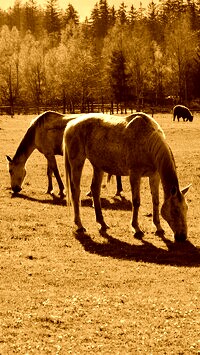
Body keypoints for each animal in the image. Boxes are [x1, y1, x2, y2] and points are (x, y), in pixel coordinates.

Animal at [63, 112, 191, 243]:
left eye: (186, 208)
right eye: (175, 210)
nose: (182, 237)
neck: (147, 141)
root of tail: (71, 124)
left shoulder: (154, 176)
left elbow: (156, 201)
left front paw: (158, 227)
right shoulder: (135, 174)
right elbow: (136, 201)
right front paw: (137, 229)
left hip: (98, 166)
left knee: (95, 189)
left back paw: (102, 223)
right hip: (77, 162)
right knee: (76, 191)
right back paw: (79, 225)